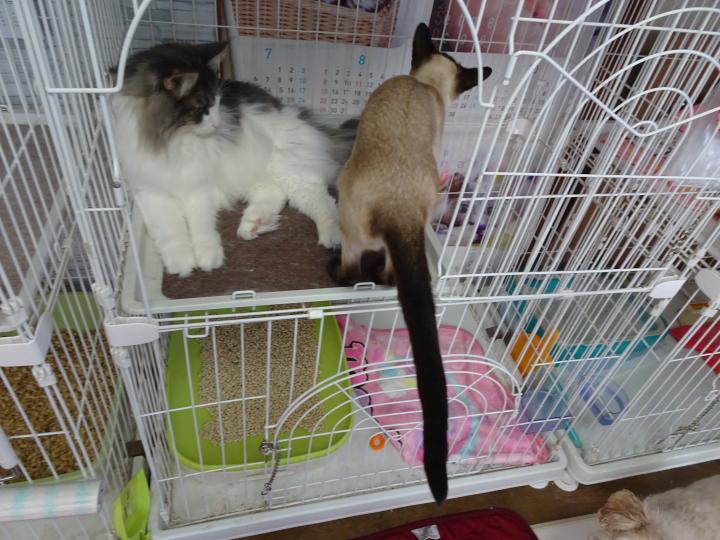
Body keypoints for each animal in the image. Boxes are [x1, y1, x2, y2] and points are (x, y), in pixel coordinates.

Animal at [111, 41, 356, 277]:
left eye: (218, 103)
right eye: (202, 108)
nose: (218, 124)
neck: (172, 142)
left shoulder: (199, 188)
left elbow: (201, 226)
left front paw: (207, 257)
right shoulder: (152, 193)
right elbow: (171, 231)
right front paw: (182, 263)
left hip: (286, 168)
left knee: (321, 200)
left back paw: (332, 235)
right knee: (275, 194)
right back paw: (254, 223)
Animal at [329, 23, 490, 503]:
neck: (426, 86)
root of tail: (397, 204)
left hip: (349, 213)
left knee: (353, 267)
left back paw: (335, 271)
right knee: (387, 272)